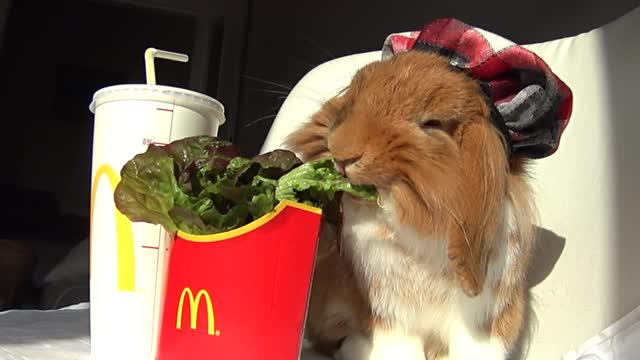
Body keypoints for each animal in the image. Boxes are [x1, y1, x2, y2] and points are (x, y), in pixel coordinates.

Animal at [286, 50, 540, 360]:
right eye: (356, 90)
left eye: (432, 123)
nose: (343, 154)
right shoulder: (389, 311)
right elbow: (397, 347)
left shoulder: (481, 318)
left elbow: (476, 347)